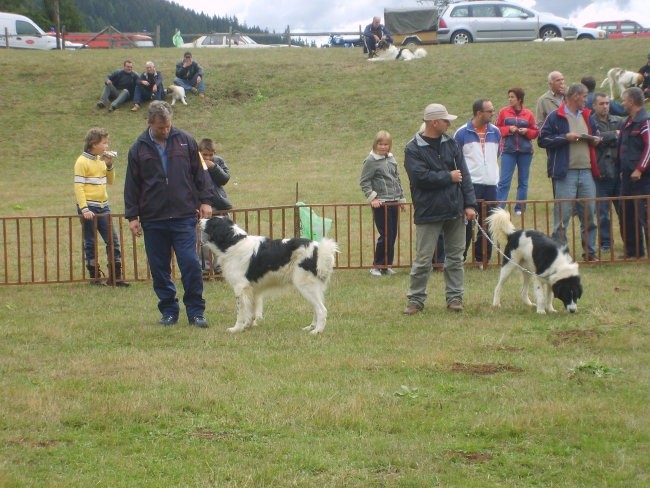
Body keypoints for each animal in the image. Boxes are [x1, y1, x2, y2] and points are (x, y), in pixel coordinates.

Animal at [200, 217, 336, 336]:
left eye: (211, 220)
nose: (199, 219)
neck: (232, 242)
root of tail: (318, 249)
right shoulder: (252, 289)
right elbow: (251, 310)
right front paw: (247, 326)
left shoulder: (240, 287)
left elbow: (241, 311)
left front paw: (236, 328)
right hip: (312, 287)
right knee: (316, 308)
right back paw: (311, 327)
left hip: (305, 286)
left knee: (321, 310)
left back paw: (317, 331)